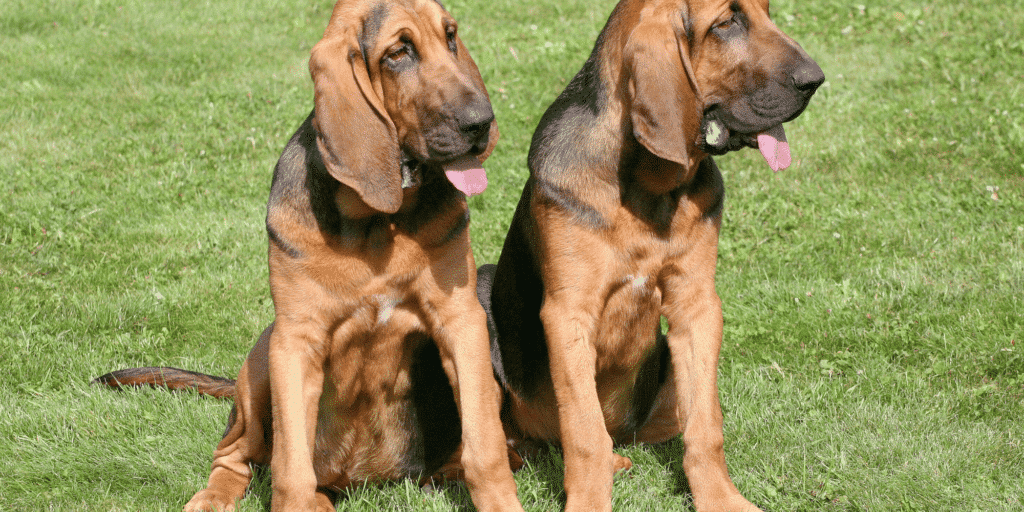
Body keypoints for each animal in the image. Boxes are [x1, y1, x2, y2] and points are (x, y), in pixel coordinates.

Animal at [94, 2, 528, 509]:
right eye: (398, 53)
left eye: (452, 37)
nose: (482, 122)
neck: (373, 223)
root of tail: (357, 480)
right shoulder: (295, 340)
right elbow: (291, 471)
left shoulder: (461, 321)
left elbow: (486, 449)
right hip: (261, 362)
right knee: (237, 455)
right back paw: (215, 496)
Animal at [477, 0, 823, 509]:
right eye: (726, 23)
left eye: (765, 13)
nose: (815, 80)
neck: (645, 187)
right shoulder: (569, 312)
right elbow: (584, 430)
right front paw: (588, 500)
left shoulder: (697, 306)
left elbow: (707, 427)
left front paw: (721, 497)